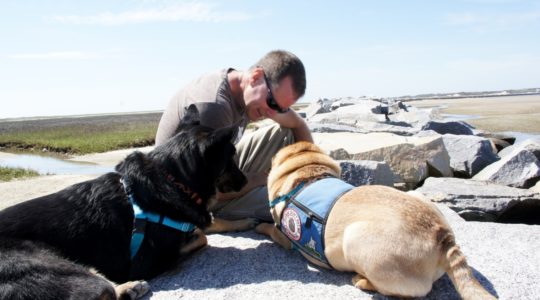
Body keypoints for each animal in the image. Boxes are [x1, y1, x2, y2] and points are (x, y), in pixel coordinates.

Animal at [0, 106, 247, 300]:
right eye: (232, 155)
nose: (245, 181)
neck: (174, 178)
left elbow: (210, 222)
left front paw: (242, 221)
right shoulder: (149, 260)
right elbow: (202, 235)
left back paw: (129, 289)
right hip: (57, 266)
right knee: (101, 291)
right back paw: (128, 287)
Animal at [255, 142, 496, 298]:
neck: (309, 172)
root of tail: (442, 237)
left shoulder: (283, 236)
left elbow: (271, 229)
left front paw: (260, 226)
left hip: (355, 238)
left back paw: (362, 280)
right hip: (419, 197)